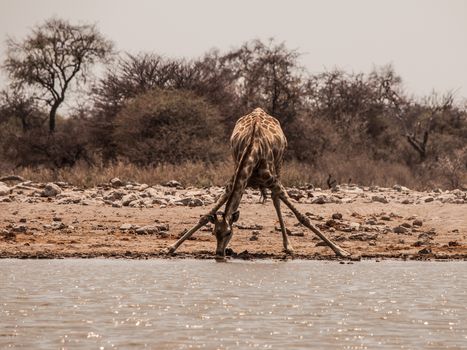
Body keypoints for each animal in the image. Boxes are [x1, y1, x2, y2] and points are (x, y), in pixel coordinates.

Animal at [169, 108, 352, 258]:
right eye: (214, 233)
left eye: (228, 233)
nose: (219, 253)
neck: (252, 151)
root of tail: (259, 110)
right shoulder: (234, 182)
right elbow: (205, 216)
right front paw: (172, 247)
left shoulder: (273, 181)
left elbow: (303, 217)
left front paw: (341, 251)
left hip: (279, 164)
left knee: (276, 200)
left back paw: (288, 246)